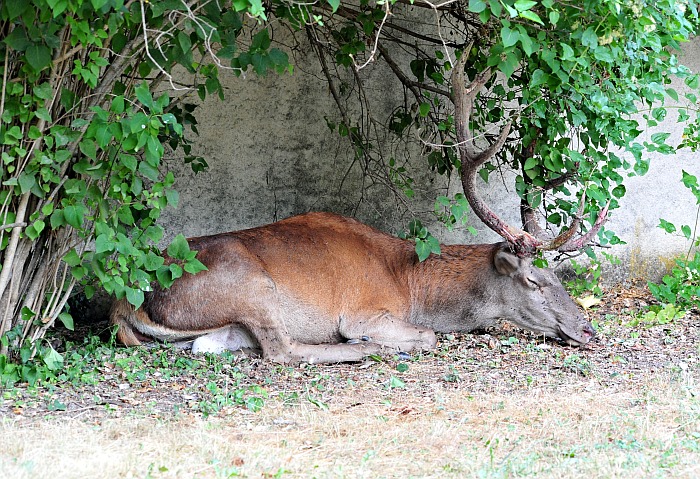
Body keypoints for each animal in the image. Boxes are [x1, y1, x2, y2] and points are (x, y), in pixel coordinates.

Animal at [106, 49, 604, 364]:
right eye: (534, 281)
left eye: (560, 276)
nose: (587, 330)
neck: (412, 286)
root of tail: (125, 303)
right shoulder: (366, 309)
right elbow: (427, 336)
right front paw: (386, 340)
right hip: (250, 285)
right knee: (282, 351)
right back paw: (364, 348)